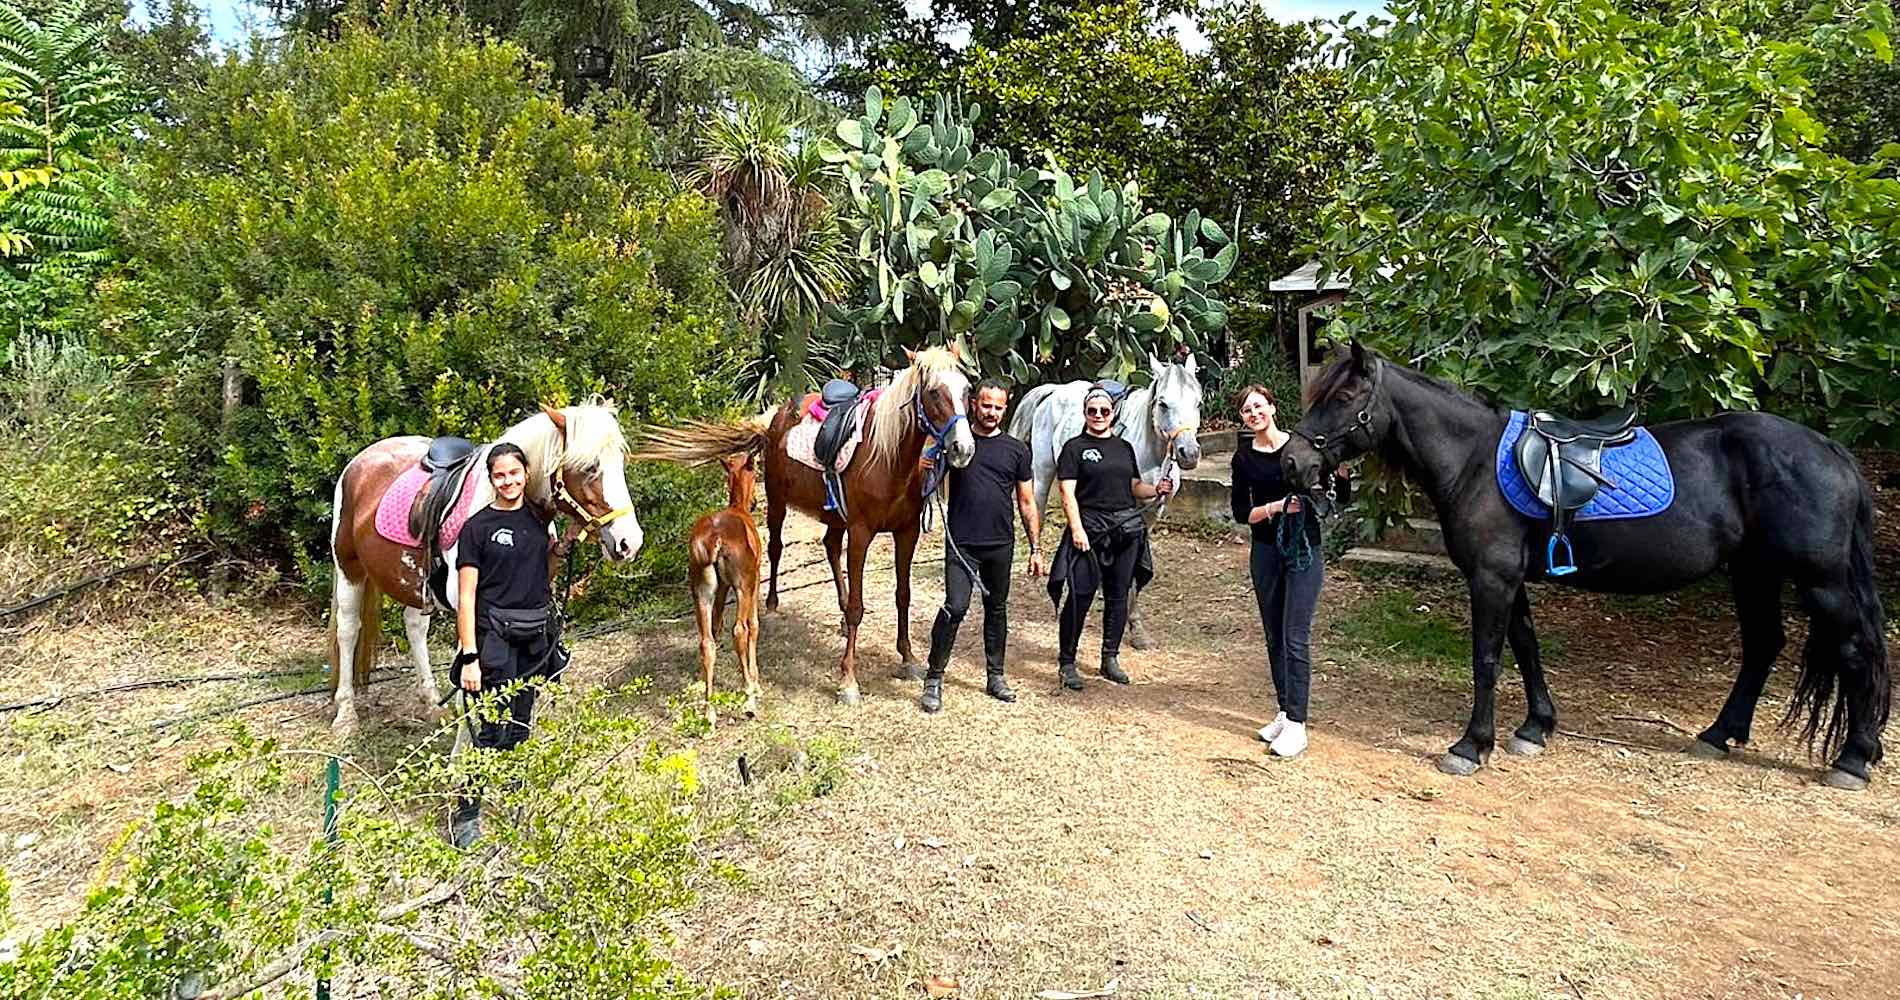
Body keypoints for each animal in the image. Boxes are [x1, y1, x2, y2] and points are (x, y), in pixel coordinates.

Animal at [327, 403, 644, 736]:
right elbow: (472, 685)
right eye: (590, 468)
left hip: (413, 582)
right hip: (349, 569)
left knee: (414, 627)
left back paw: (431, 703)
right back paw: (346, 714)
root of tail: (362, 460)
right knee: (348, 630)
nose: (630, 542)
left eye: (619, 463)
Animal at [687, 452, 764, 727]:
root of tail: (715, 538)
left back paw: (709, 712)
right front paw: (756, 680)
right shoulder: (755, 580)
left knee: (706, 642)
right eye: (758, 469)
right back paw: (749, 698)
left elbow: (717, 627)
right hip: (742, 586)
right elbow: (754, 625)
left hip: (701, 593)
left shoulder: (720, 591)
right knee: (740, 630)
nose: (755, 502)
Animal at [1009, 352, 1204, 648]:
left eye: (1198, 402)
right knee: (1037, 517)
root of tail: (1054, 391)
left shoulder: (1150, 513)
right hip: (1042, 473)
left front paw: (1136, 629)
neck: (1151, 451)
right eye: (1163, 404)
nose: (1189, 453)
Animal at [1282, 342, 1889, 789]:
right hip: (1753, 572)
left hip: (1821, 581)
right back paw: (1720, 734)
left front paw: (1472, 746)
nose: (1292, 461)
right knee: (1764, 644)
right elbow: (1526, 648)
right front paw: (1535, 727)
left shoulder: (1491, 579)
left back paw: (1853, 759)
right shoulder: (1509, 580)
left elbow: (1487, 658)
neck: (1474, 460)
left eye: (1345, 395)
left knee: (1854, 650)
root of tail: (1830, 450)